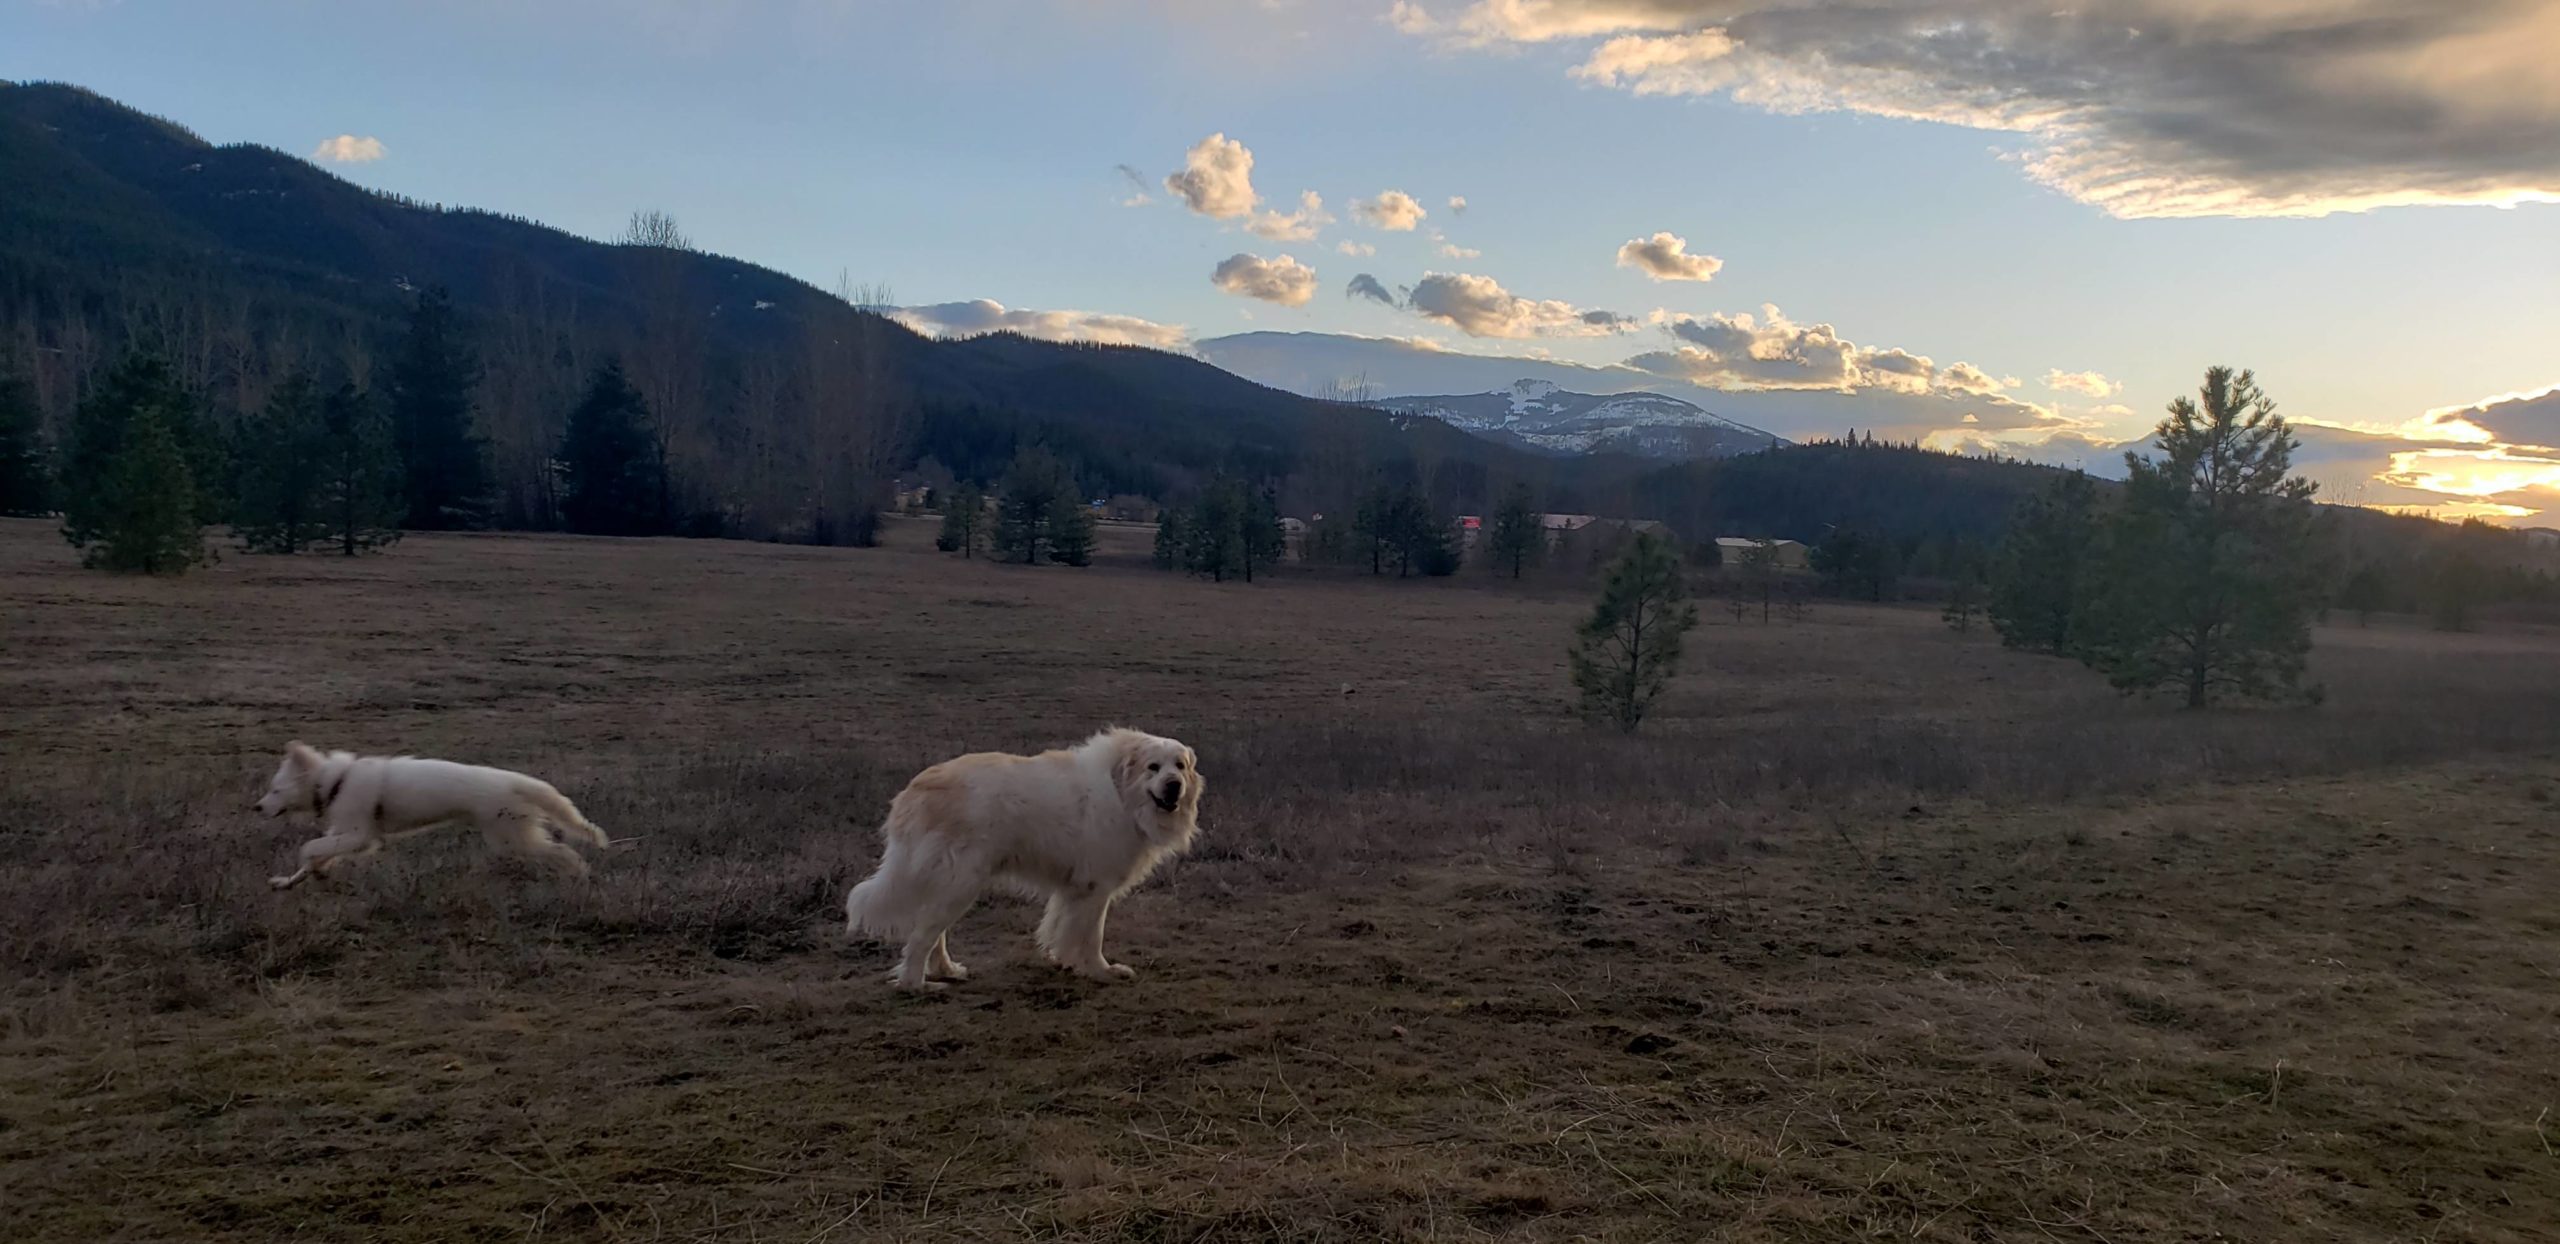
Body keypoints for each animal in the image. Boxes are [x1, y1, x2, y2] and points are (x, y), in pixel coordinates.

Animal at [254, 742, 609, 890]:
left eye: (275, 790)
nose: (256, 808)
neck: (336, 781)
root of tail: (513, 780)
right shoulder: (348, 836)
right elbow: (316, 856)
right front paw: (291, 881)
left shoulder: (359, 835)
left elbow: (308, 848)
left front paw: (311, 870)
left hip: (510, 839)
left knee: (563, 852)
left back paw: (580, 876)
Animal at [839, 726, 1198, 993]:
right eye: (1153, 767)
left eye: (1179, 766)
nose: (1174, 785)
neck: (1120, 790)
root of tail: (914, 791)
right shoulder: (1095, 888)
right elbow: (1090, 936)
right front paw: (1101, 971)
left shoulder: (1073, 889)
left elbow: (1062, 929)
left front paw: (1066, 961)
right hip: (961, 883)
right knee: (921, 937)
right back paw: (919, 985)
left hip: (948, 884)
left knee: (930, 930)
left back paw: (946, 970)